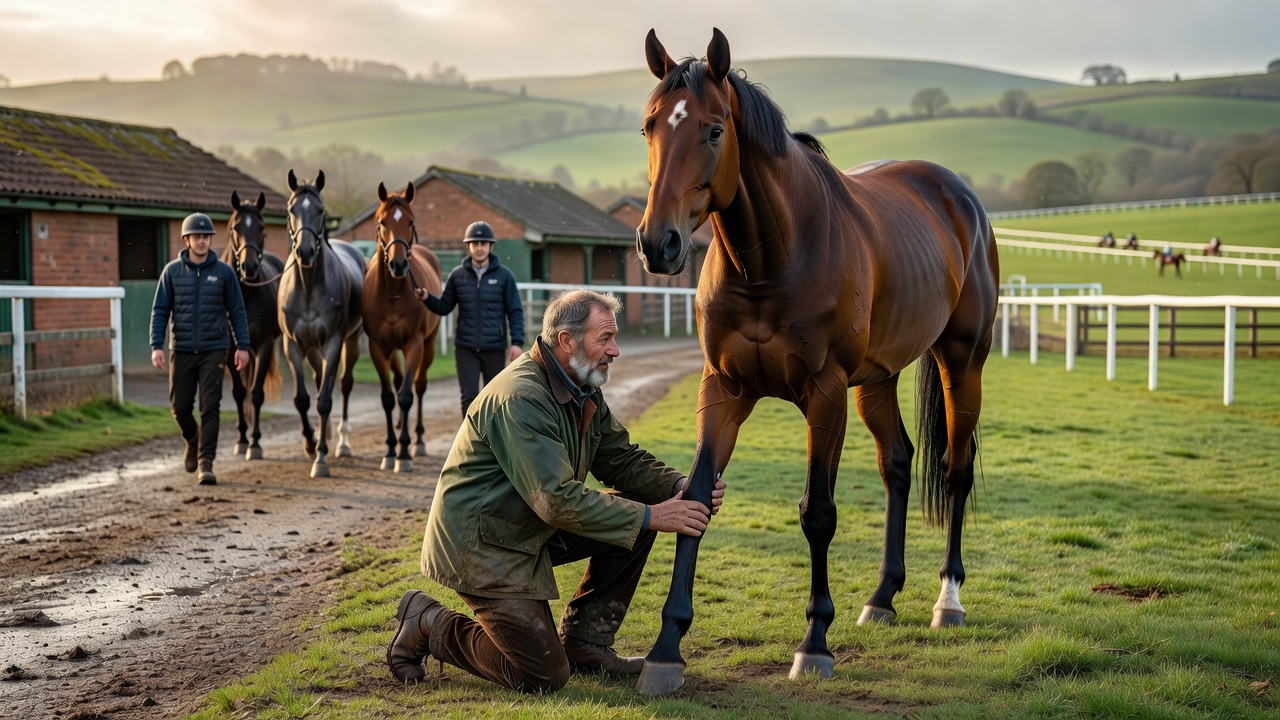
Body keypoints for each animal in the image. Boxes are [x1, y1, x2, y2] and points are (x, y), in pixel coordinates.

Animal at [278, 170, 366, 478]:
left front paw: (321, 459)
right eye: (291, 210)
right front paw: (309, 443)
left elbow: (326, 400)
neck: (307, 287)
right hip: (311, 348)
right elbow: (303, 399)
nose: (305, 252)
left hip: (351, 342)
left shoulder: (333, 344)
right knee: (318, 381)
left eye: (320, 210)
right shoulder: (292, 345)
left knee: (344, 384)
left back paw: (341, 443)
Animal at [360, 182, 443, 473]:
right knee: (397, 382)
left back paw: (417, 440)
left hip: (429, 345)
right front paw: (389, 450)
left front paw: (404, 452)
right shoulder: (377, 346)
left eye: (411, 221)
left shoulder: (414, 343)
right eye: (381, 221)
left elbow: (407, 395)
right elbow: (388, 397)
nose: (398, 265)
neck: (392, 294)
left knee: (419, 386)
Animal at [633, 28, 999, 695]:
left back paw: (948, 600)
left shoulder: (825, 394)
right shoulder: (723, 390)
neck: (772, 257)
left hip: (962, 362)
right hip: (877, 379)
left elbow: (819, 514)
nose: (658, 244)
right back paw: (882, 597)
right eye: (650, 126)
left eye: (714, 130)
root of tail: (958, 196)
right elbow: (694, 502)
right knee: (898, 463)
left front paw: (814, 643)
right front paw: (666, 649)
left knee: (955, 471)